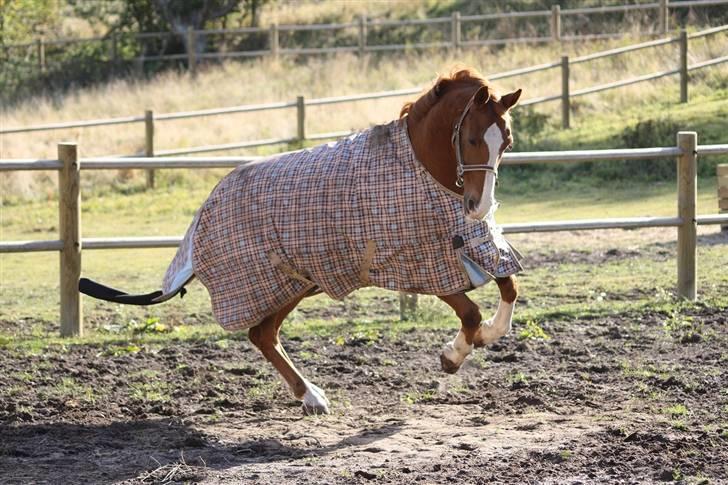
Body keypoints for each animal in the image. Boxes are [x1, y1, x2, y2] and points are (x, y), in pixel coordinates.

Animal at [80, 68, 523, 415]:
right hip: (273, 283)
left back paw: (310, 396)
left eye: (506, 142)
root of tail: (208, 205)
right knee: (261, 335)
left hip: (296, 282)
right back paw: (311, 396)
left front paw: (482, 338)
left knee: (263, 335)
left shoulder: (477, 248)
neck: (420, 168)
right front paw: (452, 356)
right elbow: (470, 313)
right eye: (471, 139)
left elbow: (509, 288)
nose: (479, 207)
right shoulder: (417, 265)